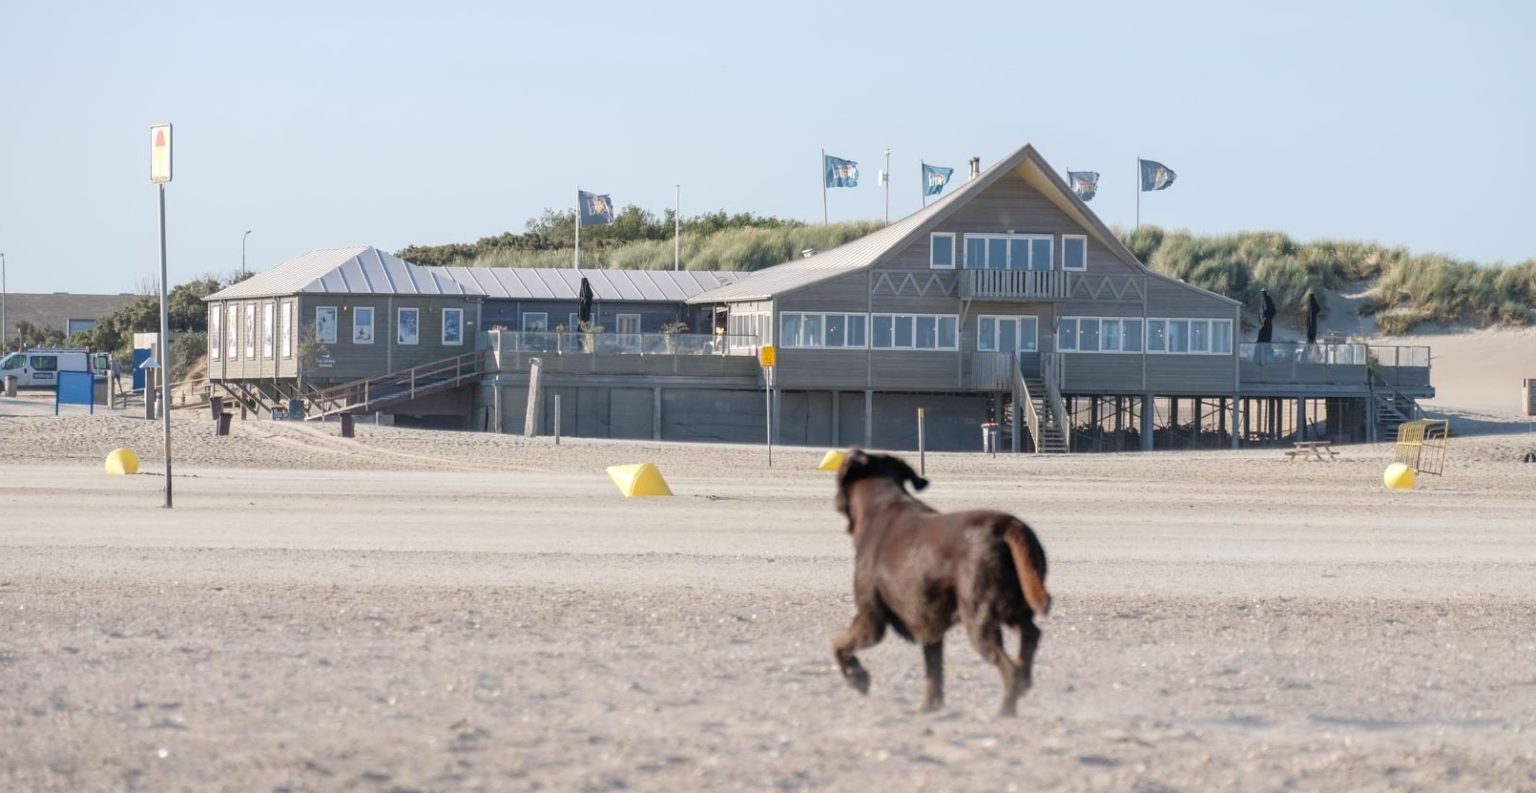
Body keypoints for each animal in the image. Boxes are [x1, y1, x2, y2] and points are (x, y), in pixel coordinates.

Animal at [835, 448, 1050, 716]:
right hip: (1017, 605)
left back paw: (1005, 709)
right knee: (1031, 634)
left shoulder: (870, 619)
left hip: (978, 616)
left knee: (1008, 668)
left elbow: (838, 646)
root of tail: (1007, 526)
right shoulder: (928, 624)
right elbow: (933, 673)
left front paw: (857, 677)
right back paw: (1024, 675)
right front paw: (929, 706)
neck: (881, 507)